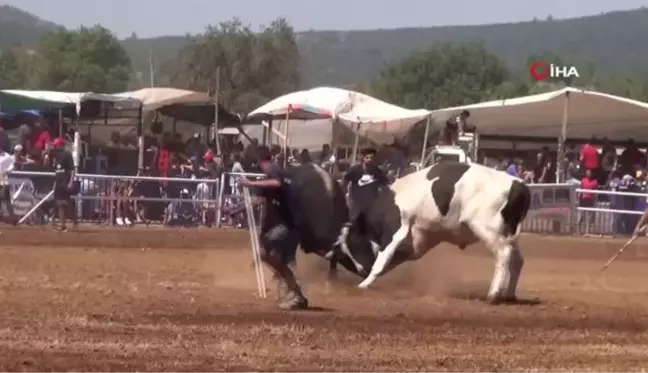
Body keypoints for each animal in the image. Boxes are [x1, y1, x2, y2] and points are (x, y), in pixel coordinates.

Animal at [340, 163, 532, 302]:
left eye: (356, 243)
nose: (361, 270)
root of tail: (519, 185)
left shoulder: (395, 232)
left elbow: (380, 264)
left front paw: (363, 285)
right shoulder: (412, 245)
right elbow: (387, 263)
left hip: (489, 230)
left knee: (504, 255)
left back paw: (494, 294)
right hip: (508, 235)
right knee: (517, 260)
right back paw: (509, 295)